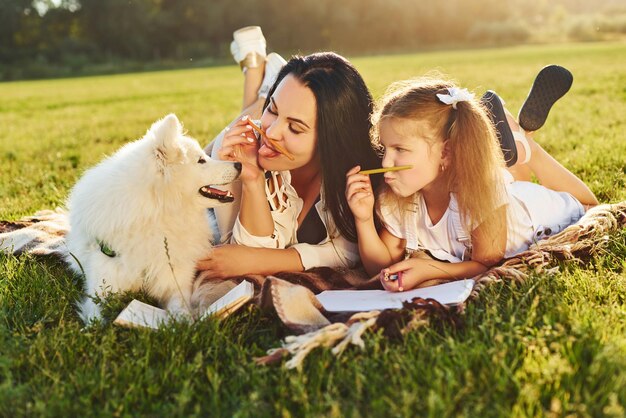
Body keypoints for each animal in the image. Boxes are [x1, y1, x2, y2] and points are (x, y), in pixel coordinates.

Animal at [66, 114, 239, 324]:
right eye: (201, 161)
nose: (239, 164)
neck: (157, 214)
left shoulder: (175, 280)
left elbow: (180, 308)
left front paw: (184, 323)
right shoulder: (101, 284)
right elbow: (95, 315)